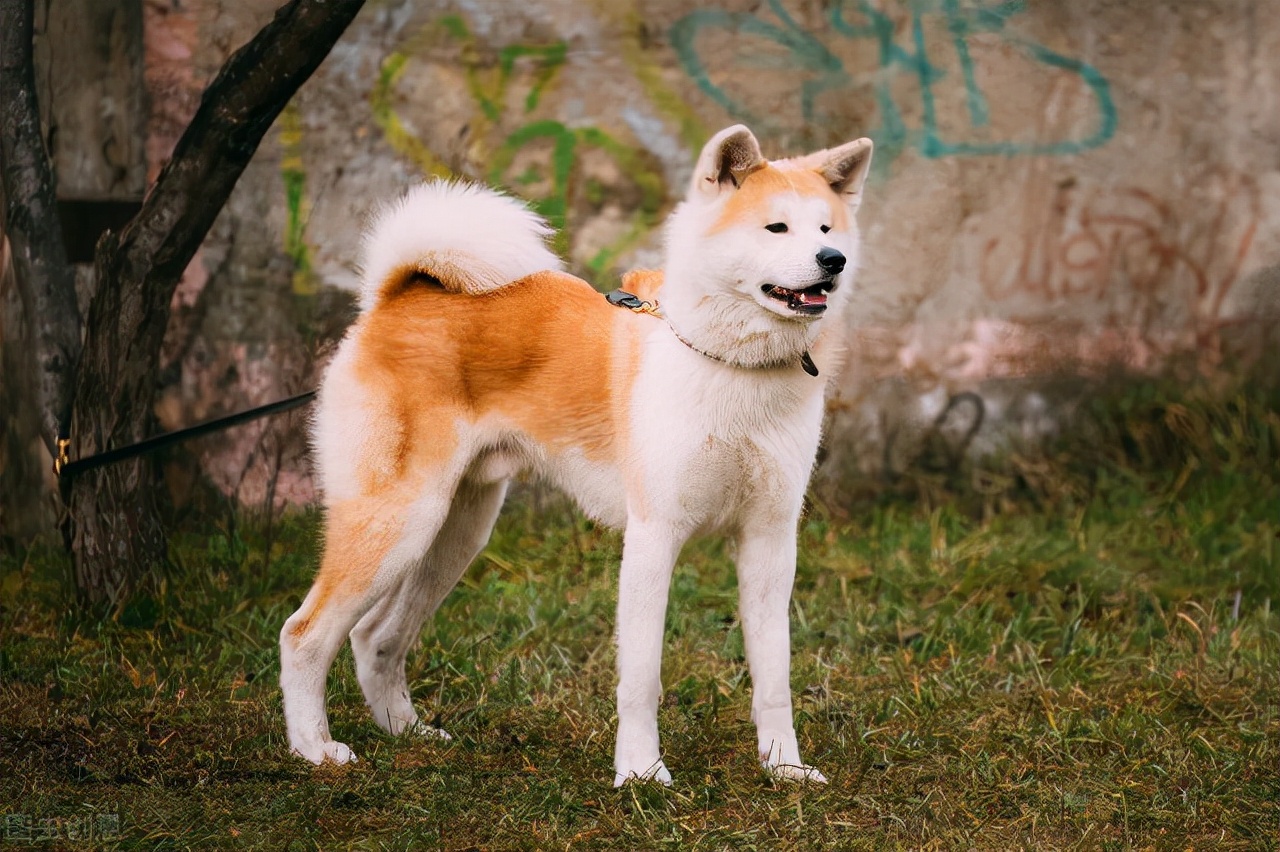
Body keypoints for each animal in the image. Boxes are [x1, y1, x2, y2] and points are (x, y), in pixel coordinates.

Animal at [281, 124, 875, 782]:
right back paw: (314, 748)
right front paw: (641, 774)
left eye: (825, 228)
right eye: (777, 228)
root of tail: (397, 296)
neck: (732, 366)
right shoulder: (653, 536)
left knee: (374, 637)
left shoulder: (770, 541)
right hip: (398, 522)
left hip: (455, 533)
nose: (833, 261)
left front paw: (783, 769)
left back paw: (407, 732)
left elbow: (774, 676)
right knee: (304, 633)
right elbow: (641, 677)